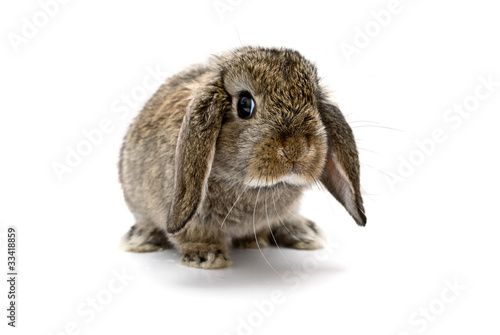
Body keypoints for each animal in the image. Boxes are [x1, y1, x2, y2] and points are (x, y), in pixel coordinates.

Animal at [118, 46, 366, 270]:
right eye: (245, 104)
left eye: (314, 103)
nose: (297, 149)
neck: (255, 188)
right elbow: (193, 235)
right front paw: (207, 256)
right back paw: (143, 238)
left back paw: (303, 232)